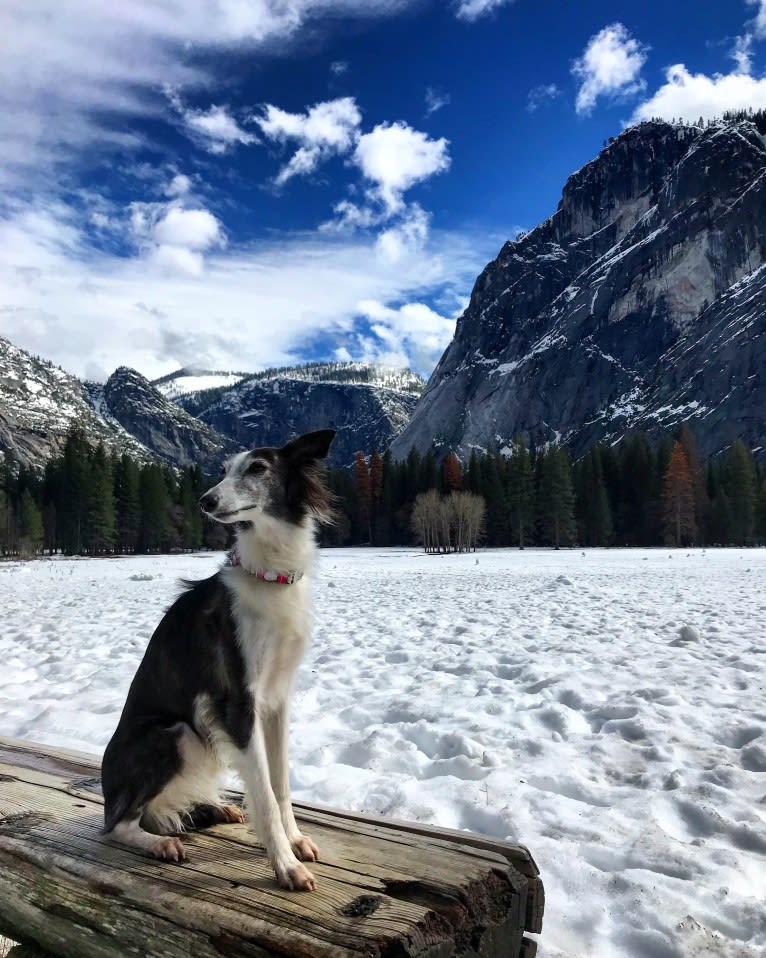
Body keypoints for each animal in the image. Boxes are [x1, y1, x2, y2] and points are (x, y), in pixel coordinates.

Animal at [100, 428, 334, 892]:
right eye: (223, 471)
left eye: (258, 468)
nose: (205, 501)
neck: (270, 578)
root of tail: (105, 790)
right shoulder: (237, 703)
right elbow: (263, 790)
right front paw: (284, 864)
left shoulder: (277, 699)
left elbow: (280, 783)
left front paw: (295, 840)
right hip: (173, 733)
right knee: (118, 824)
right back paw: (158, 842)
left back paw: (213, 809)